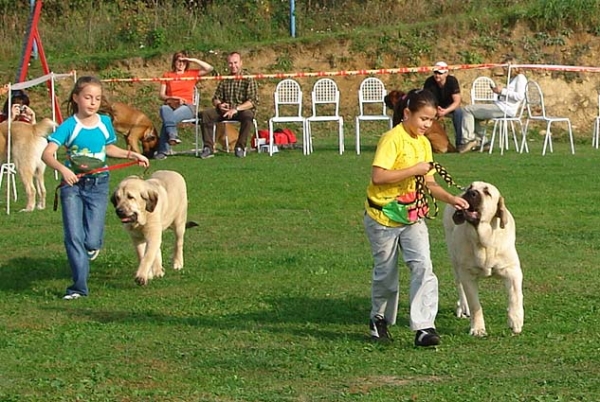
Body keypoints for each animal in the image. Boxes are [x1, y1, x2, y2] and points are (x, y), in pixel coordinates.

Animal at [442, 181, 524, 336]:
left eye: (487, 192)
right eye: (470, 187)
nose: (470, 192)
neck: (483, 242)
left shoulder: (512, 270)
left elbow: (515, 298)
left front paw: (515, 321)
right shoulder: (467, 274)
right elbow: (475, 305)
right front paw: (478, 329)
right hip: (455, 259)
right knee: (459, 284)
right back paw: (463, 307)